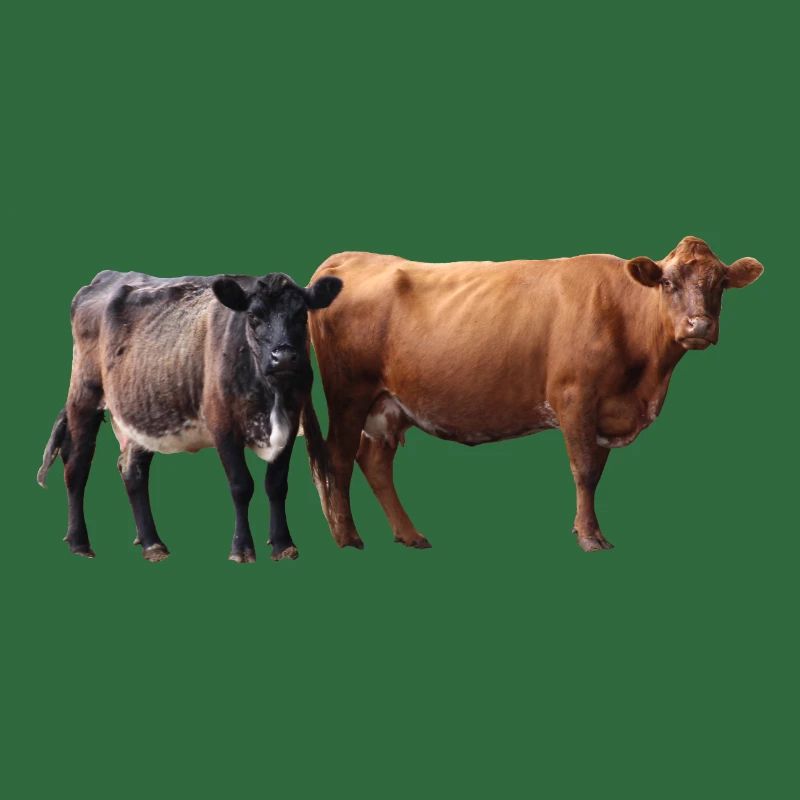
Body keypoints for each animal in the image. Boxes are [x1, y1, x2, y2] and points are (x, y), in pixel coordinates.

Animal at [37, 269, 342, 562]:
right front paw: (242, 548)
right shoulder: (222, 425)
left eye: (301, 315)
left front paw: (283, 545)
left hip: (142, 410)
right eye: (254, 316)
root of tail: (105, 277)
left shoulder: (290, 423)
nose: (285, 357)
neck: (272, 399)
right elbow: (241, 485)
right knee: (77, 467)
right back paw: (80, 543)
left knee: (133, 472)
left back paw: (152, 543)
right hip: (84, 397)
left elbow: (276, 485)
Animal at [301, 236, 763, 553]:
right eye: (667, 281)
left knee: (374, 461)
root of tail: (351, 257)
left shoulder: (606, 411)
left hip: (387, 403)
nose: (699, 325)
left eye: (720, 282)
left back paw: (409, 535)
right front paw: (591, 538)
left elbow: (597, 471)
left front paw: (582, 528)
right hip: (349, 393)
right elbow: (584, 470)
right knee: (338, 459)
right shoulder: (574, 396)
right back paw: (347, 538)